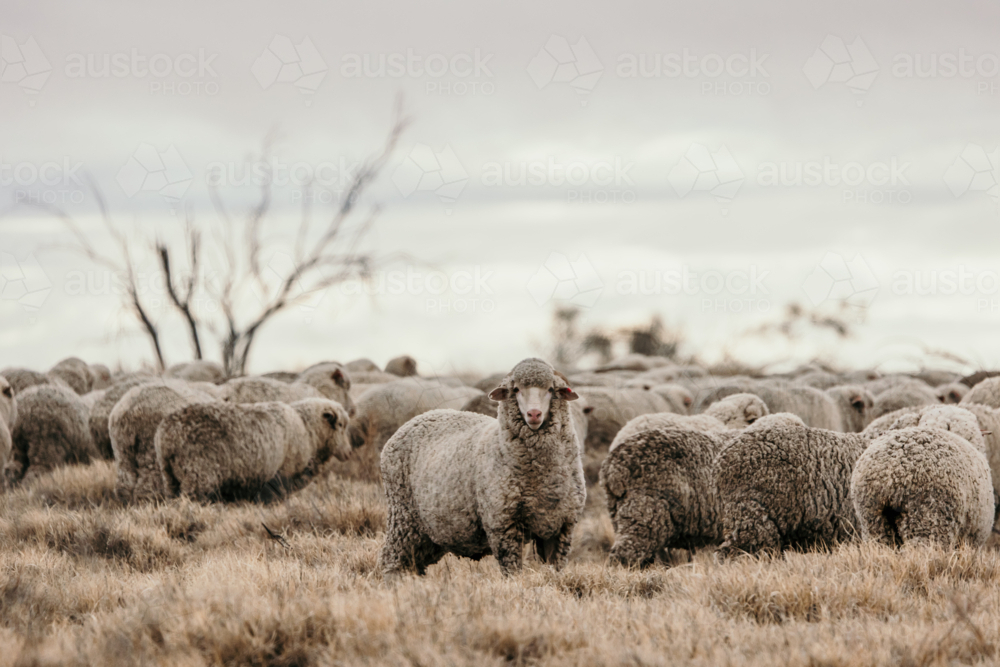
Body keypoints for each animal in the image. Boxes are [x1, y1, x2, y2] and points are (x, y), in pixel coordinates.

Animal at [156, 397, 352, 502]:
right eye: (340, 425)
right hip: (198, 477)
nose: (349, 453)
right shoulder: (279, 481)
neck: (307, 430)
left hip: (170, 477)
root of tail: (167, 435)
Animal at [378, 358, 585, 577]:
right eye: (516, 389)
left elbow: (554, 571)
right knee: (391, 560)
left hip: (430, 532)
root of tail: (416, 419)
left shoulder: (560, 527)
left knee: (413, 563)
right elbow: (513, 571)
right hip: (403, 517)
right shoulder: (502, 524)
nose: (534, 414)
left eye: (551, 389)